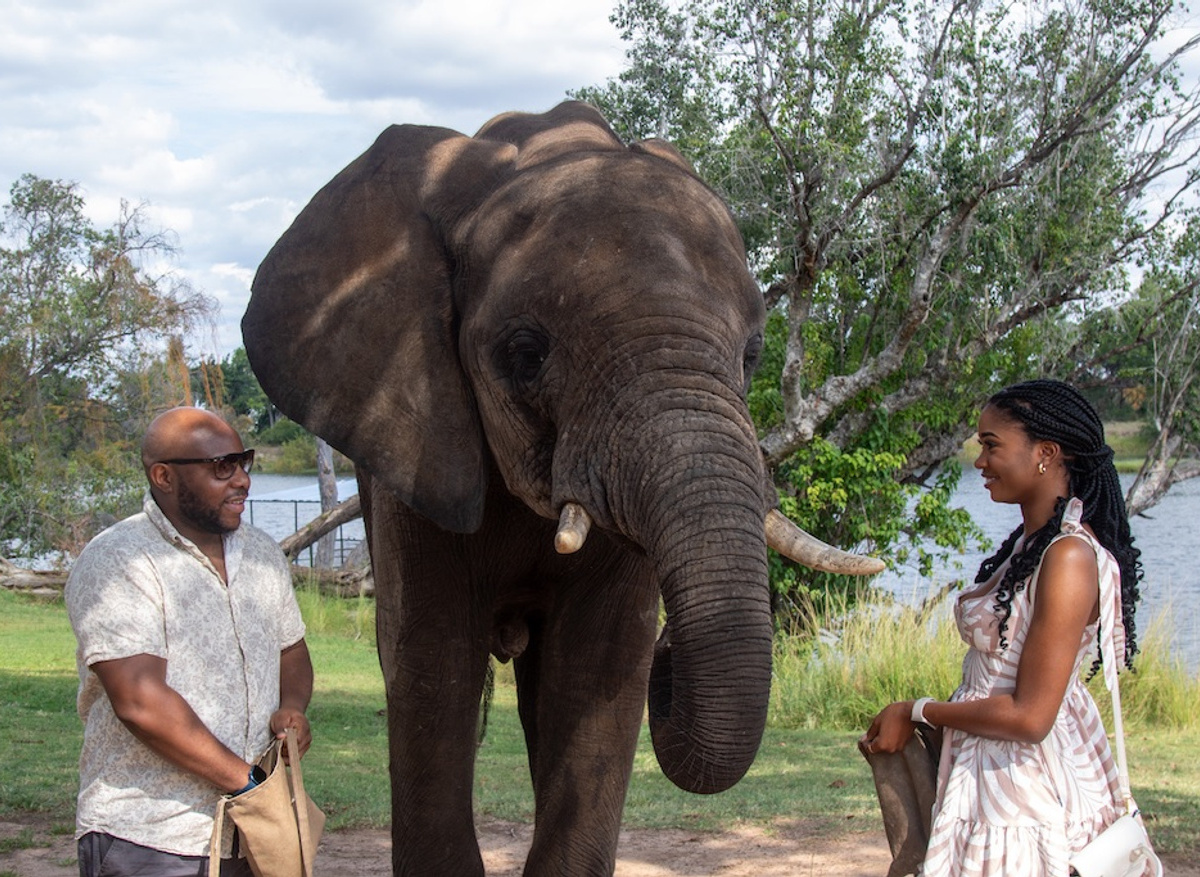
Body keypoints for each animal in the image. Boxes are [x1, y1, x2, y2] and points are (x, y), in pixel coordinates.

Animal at [242, 101, 882, 876]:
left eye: (752, 354)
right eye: (523, 354)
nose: (673, 660)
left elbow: (599, 663)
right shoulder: (411, 447)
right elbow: (431, 658)